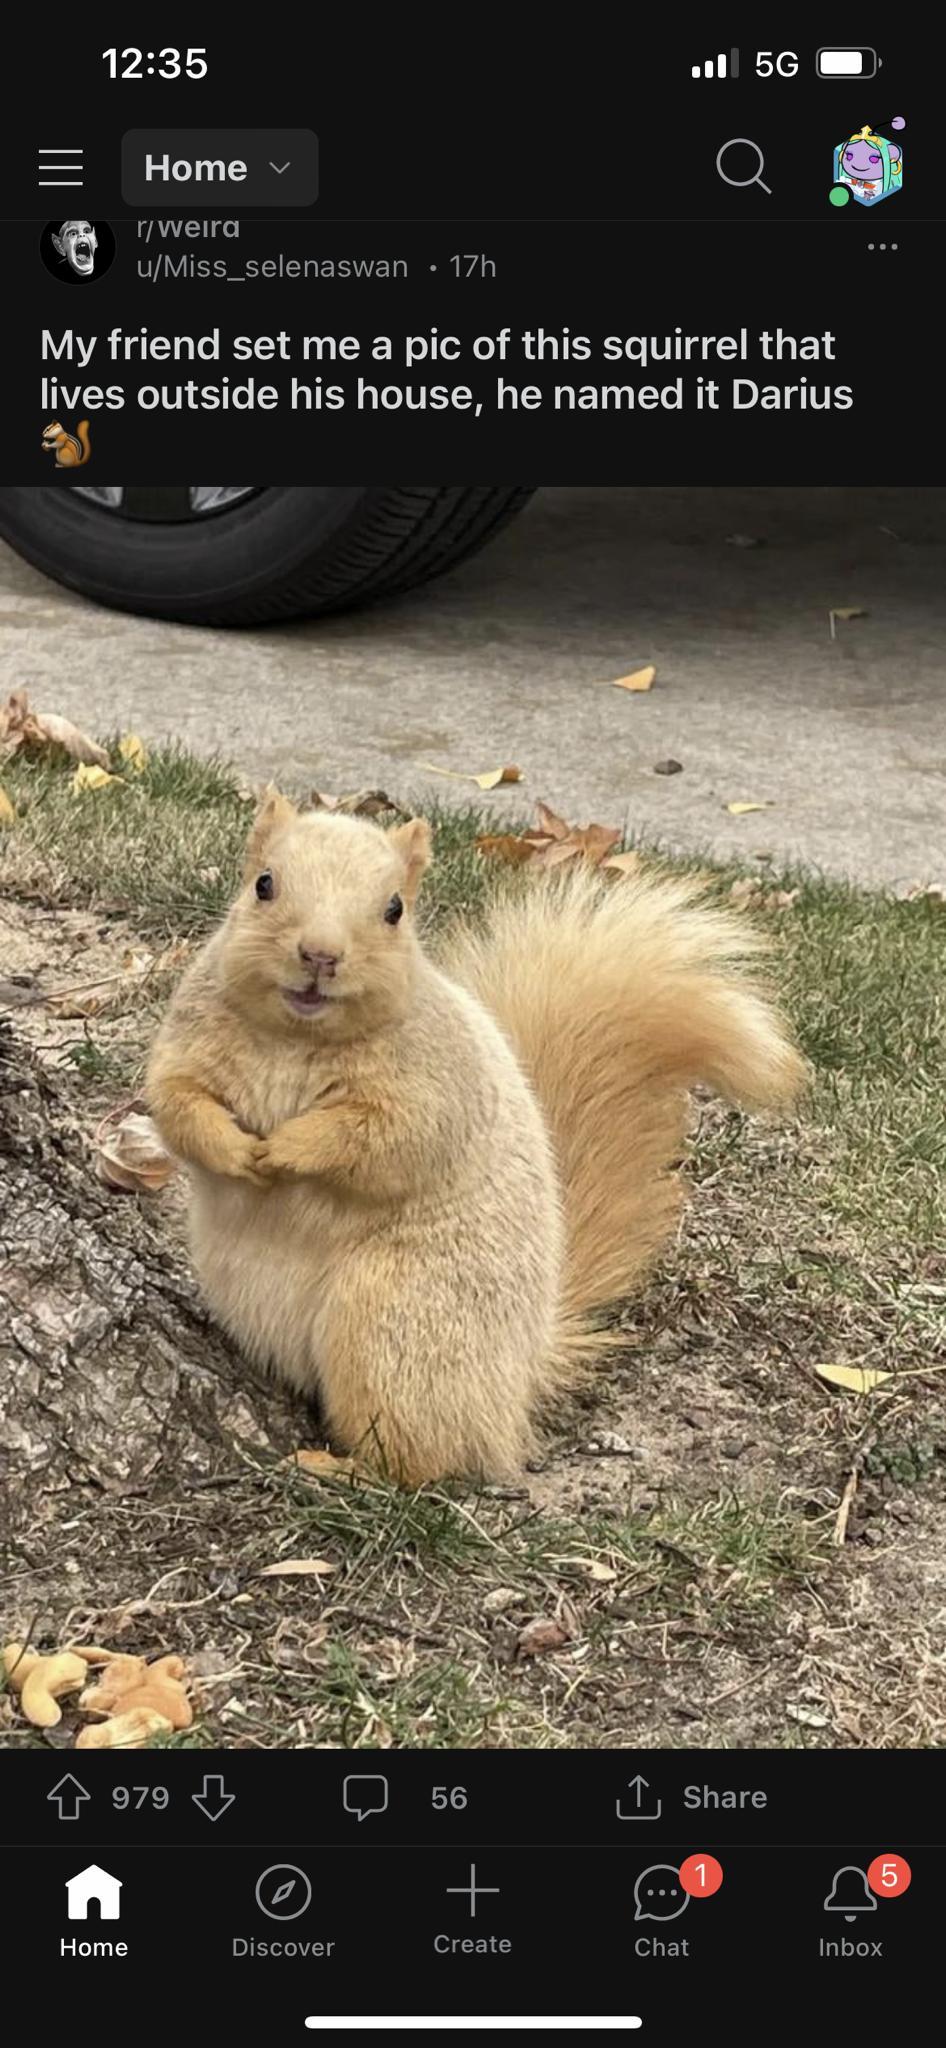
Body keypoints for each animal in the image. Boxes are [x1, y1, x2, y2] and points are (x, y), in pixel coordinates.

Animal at [147, 793, 805, 1484]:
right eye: (263, 884)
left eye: (395, 909)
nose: (320, 954)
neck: (296, 1038)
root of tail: (520, 1370)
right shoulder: (185, 1044)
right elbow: (176, 1105)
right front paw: (234, 1150)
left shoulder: (436, 1089)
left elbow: (383, 1140)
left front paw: (289, 1147)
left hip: (396, 1327)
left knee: (418, 1459)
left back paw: (336, 1467)